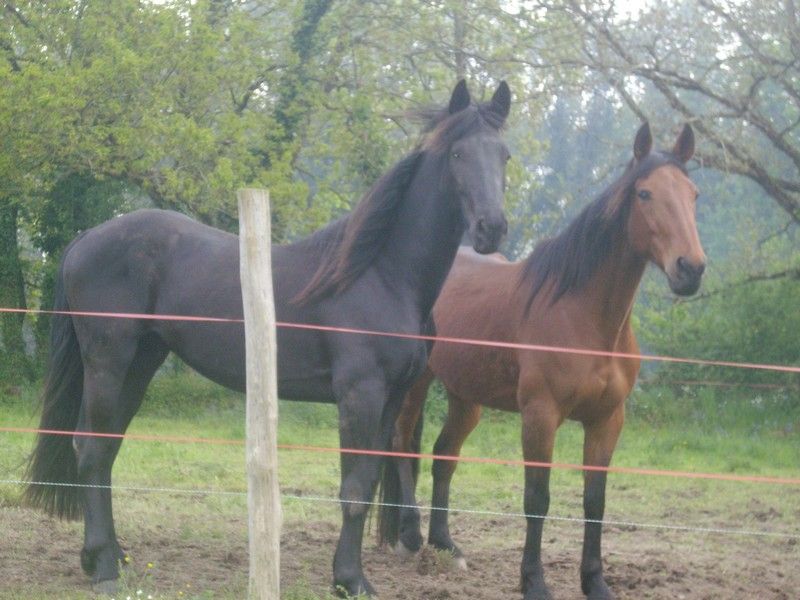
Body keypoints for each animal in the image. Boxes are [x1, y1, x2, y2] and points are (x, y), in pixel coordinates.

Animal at [24, 79, 512, 597]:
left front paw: (349, 575)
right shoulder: (360, 395)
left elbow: (369, 481)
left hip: (141, 364)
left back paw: (114, 555)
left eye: (504, 155)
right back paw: (103, 566)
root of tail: (86, 239)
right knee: (91, 449)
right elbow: (355, 490)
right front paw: (351, 579)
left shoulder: (392, 399)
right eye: (458, 153)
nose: (492, 228)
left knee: (107, 448)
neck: (379, 274)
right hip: (109, 363)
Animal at [380, 122, 705, 599]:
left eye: (693, 194)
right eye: (645, 193)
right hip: (417, 384)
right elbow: (538, 499)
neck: (586, 318)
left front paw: (595, 583)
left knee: (444, 457)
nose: (691, 269)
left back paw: (445, 545)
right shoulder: (540, 415)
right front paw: (533, 582)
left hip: (466, 398)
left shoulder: (607, 420)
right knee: (402, 445)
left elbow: (595, 500)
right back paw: (409, 536)